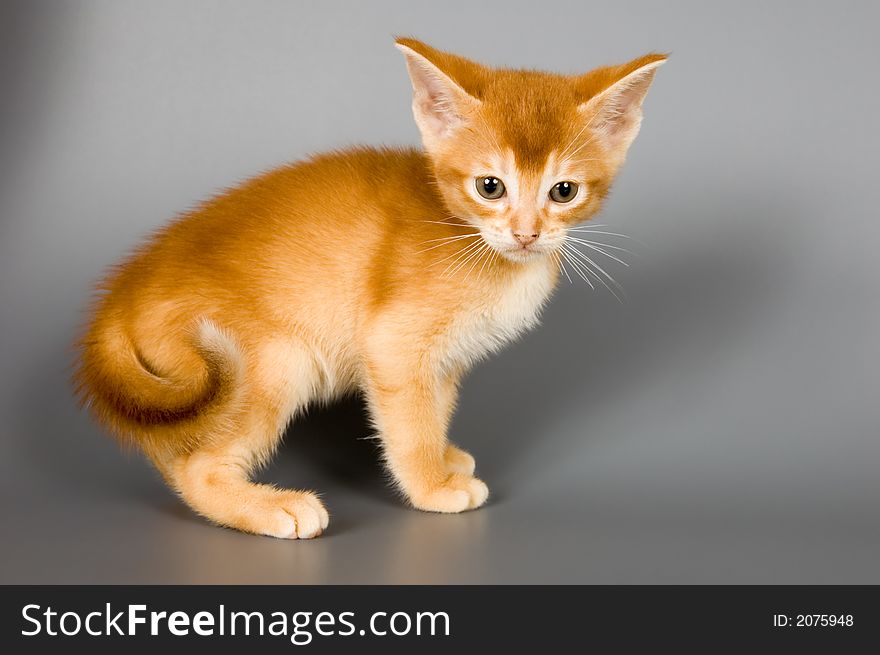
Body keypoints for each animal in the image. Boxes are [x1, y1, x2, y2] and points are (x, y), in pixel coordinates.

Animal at [75, 39, 668, 540]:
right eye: (490, 186)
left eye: (564, 191)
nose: (527, 233)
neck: (473, 242)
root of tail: (121, 293)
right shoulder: (393, 343)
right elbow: (410, 426)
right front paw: (432, 487)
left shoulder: (443, 360)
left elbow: (435, 410)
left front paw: (444, 460)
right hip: (273, 362)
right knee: (195, 466)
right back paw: (275, 507)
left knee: (173, 450)